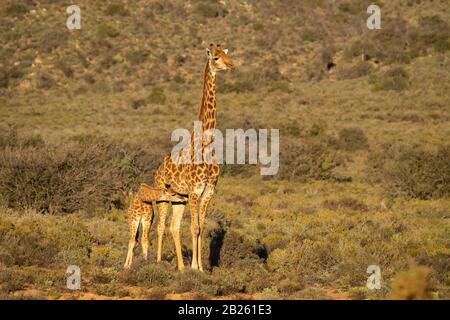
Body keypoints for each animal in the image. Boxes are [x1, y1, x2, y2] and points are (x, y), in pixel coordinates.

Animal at [154, 43, 234, 272]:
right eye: (216, 57)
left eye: (227, 55)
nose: (231, 65)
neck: (207, 144)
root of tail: (157, 170)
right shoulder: (195, 191)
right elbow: (194, 227)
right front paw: (195, 267)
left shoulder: (207, 192)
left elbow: (201, 226)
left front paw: (199, 268)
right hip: (163, 194)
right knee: (160, 226)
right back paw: (156, 262)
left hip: (179, 199)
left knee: (174, 227)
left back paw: (180, 267)